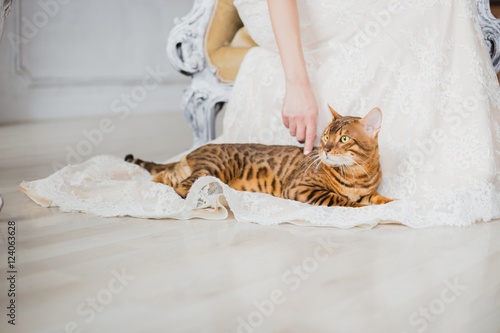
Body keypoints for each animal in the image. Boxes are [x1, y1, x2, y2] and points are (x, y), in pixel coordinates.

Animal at [124, 105, 390, 206]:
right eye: (325, 137)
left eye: (344, 139)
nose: (324, 149)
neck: (358, 174)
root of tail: (192, 152)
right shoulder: (300, 188)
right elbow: (342, 200)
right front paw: (360, 207)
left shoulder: (368, 190)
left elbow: (376, 197)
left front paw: (391, 202)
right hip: (218, 165)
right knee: (182, 186)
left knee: (164, 178)